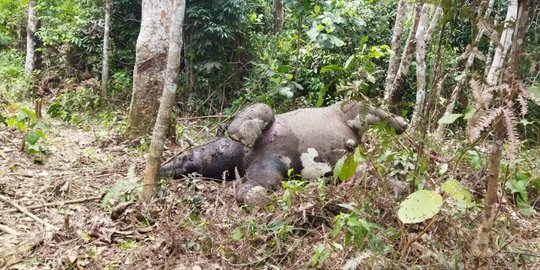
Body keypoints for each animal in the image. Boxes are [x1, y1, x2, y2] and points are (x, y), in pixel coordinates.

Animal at [158, 101, 408, 205]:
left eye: (185, 157)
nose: (163, 168)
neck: (239, 154)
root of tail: (356, 140)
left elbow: (261, 108)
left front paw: (241, 131)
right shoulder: (267, 167)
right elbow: (252, 189)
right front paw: (255, 196)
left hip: (345, 110)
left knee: (366, 107)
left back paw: (400, 123)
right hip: (355, 165)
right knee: (372, 177)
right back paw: (399, 187)